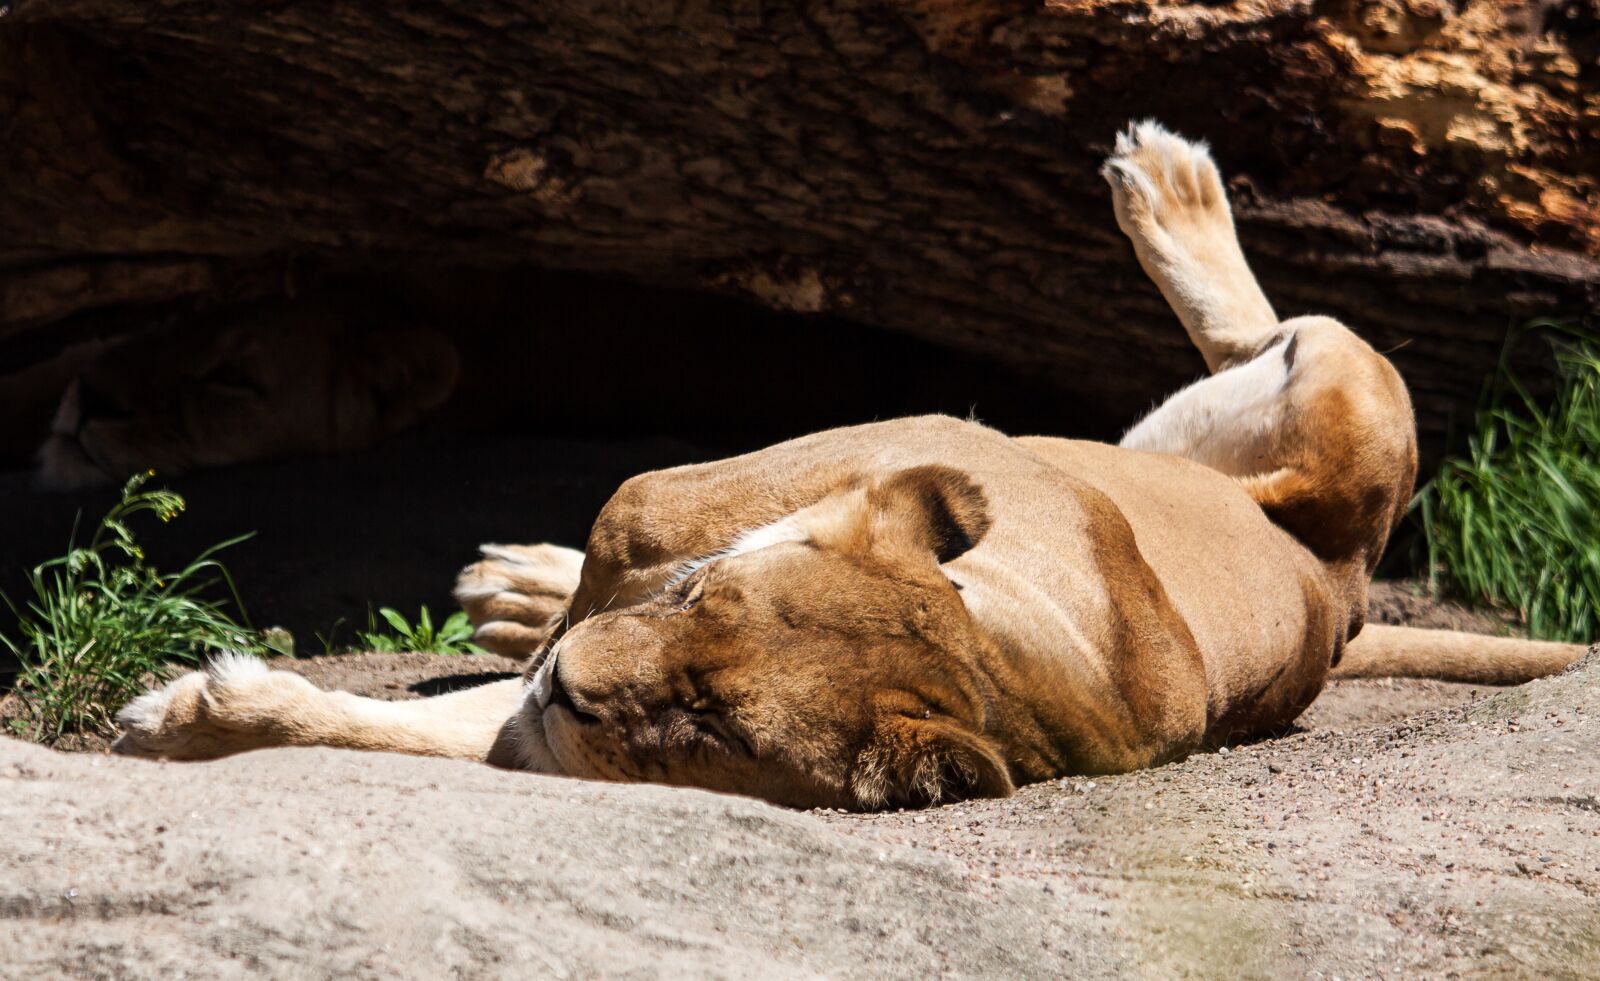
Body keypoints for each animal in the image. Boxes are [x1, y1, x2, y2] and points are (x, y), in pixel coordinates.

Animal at [111, 123, 1587, 809]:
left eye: (707, 726)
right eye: (702, 602)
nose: (572, 685)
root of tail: (1341, 594)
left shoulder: (565, 727)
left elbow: (408, 728)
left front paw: (200, 715)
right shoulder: (717, 504)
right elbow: (610, 548)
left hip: (1343, 414)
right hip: (1290, 409)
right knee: (1273, 328)